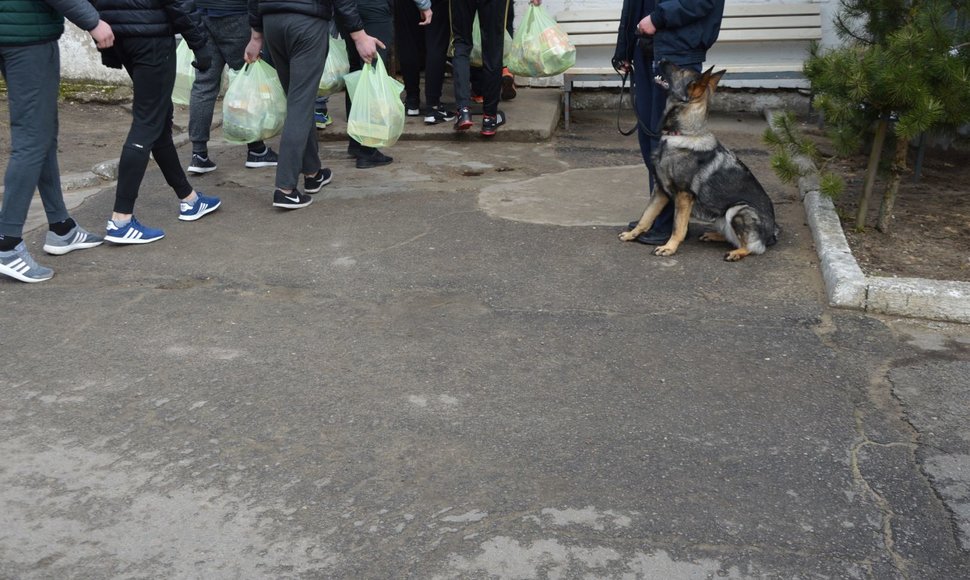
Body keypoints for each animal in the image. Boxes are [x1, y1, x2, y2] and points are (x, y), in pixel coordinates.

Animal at [620, 61, 780, 260]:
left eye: (681, 70)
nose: (661, 60)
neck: (682, 134)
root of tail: (772, 232)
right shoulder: (660, 191)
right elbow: (646, 216)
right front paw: (632, 235)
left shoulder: (683, 196)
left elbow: (678, 227)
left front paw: (669, 247)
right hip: (721, 217)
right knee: (733, 237)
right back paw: (714, 236)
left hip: (737, 210)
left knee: (753, 246)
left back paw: (736, 253)